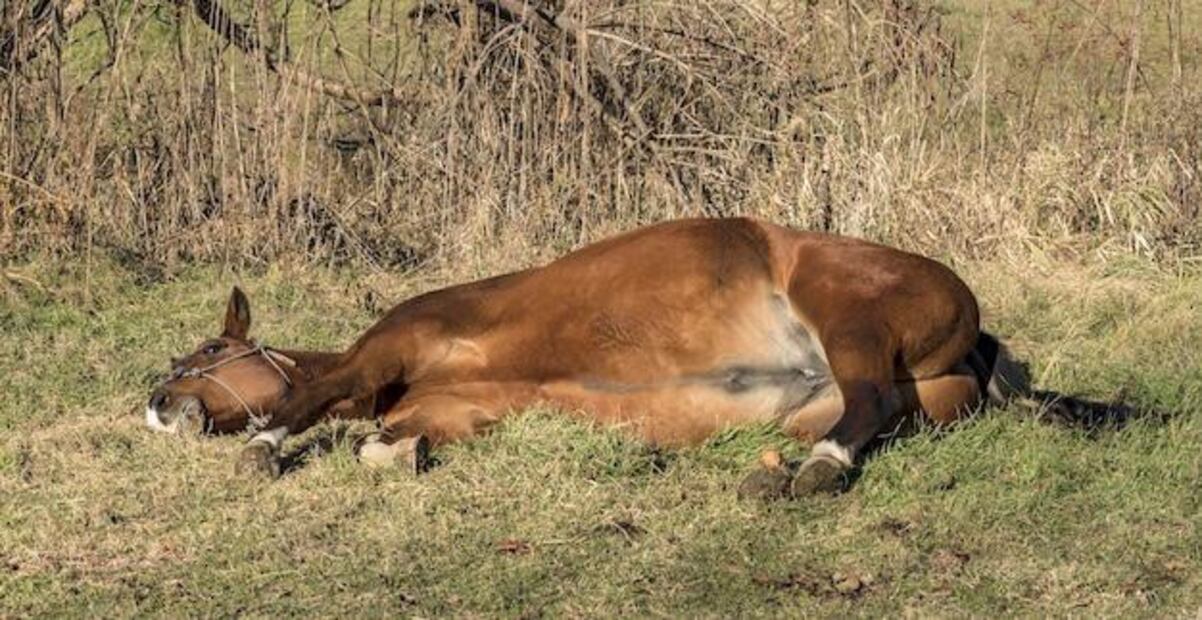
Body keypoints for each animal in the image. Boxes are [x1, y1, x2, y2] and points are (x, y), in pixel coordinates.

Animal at [147, 217, 1127, 497]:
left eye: (207, 349)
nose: (157, 403)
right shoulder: (451, 410)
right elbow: (383, 445)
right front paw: (399, 453)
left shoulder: (388, 345)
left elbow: (304, 405)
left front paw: (261, 447)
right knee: (871, 417)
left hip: (848, 319)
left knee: (871, 405)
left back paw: (811, 472)